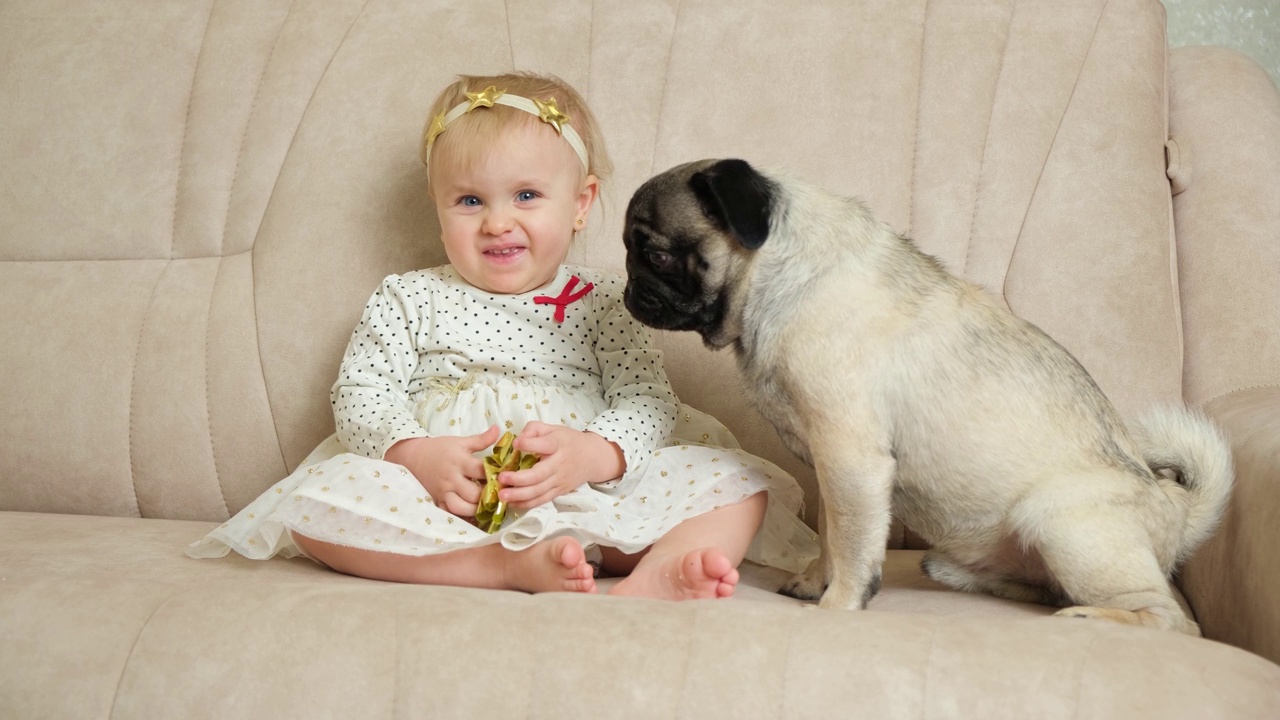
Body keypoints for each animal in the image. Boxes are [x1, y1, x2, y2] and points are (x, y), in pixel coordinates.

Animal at [624, 158, 1233, 632]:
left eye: (655, 256)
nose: (630, 291)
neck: (775, 277)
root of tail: (1175, 508)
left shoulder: (851, 459)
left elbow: (852, 543)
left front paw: (839, 605)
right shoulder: (832, 468)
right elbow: (831, 536)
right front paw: (816, 581)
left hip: (1059, 521)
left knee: (1169, 618)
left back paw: (1092, 618)